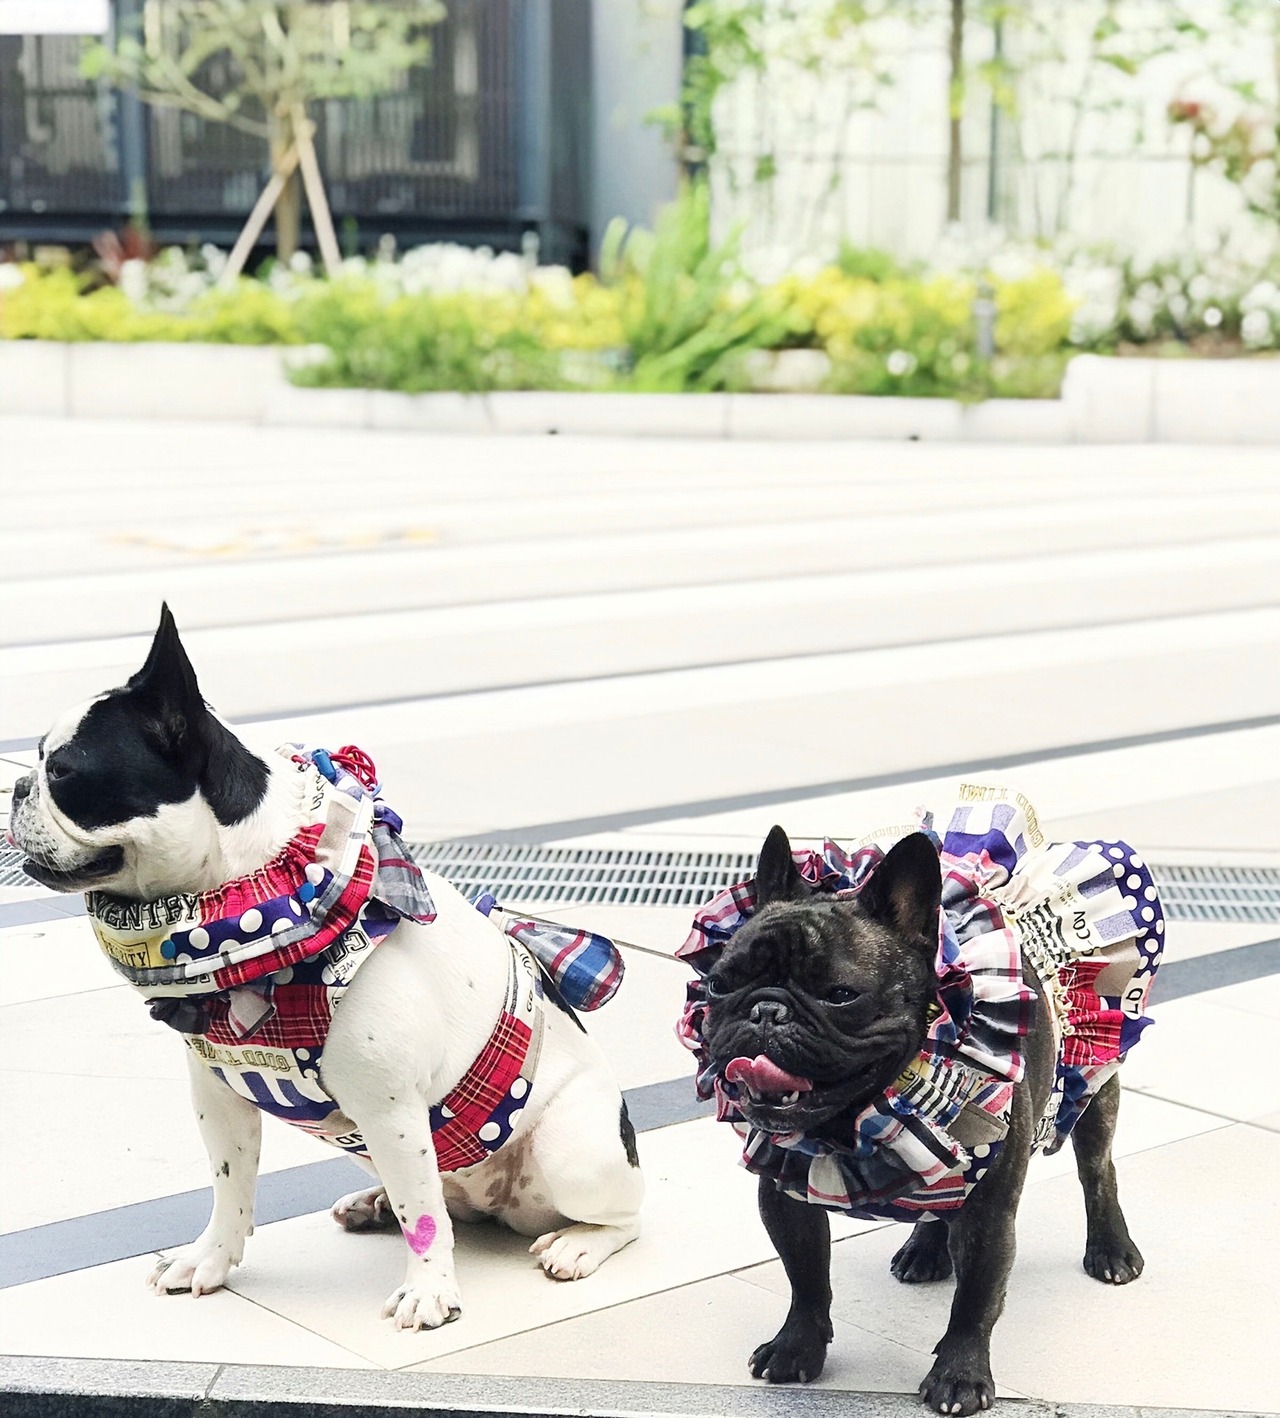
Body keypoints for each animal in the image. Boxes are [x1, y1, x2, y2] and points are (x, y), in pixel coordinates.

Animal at [9, 606, 643, 1328]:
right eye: (38, 761)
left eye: (65, 773)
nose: (19, 785)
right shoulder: (219, 1094)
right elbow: (230, 1184)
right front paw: (211, 1259)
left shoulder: (389, 1106)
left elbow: (423, 1217)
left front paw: (429, 1292)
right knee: (435, 1196)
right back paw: (375, 1205)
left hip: (571, 1154)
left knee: (618, 1217)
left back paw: (577, 1244)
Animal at [677, 800, 1161, 1413]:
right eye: (719, 984)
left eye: (841, 996)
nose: (766, 1010)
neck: (854, 1121)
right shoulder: (785, 1194)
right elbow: (805, 1278)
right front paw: (796, 1348)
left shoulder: (988, 1215)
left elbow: (976, 1301)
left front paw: (959, 1376)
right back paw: (924, 1249)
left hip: (1093, 1090)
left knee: (1097, 1171)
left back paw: (1112, 1249)